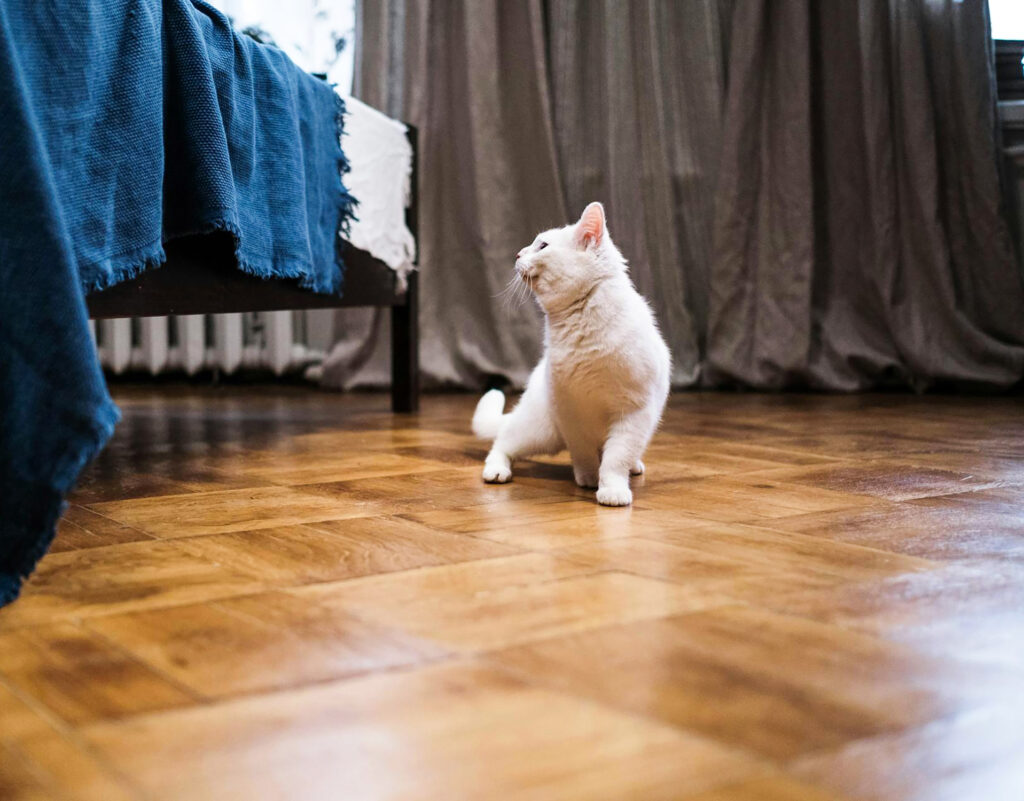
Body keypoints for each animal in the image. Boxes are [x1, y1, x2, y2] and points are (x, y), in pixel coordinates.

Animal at [471, 203, 671, 506]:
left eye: (542, 245)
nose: (518, 254)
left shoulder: (635, 413)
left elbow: (616, 457)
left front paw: (611, 488)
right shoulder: (569, 411)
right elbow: (583, 452)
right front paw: (588, 479)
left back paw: (634, 466)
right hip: (539, 430)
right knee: (503, 442)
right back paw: (496, 470)